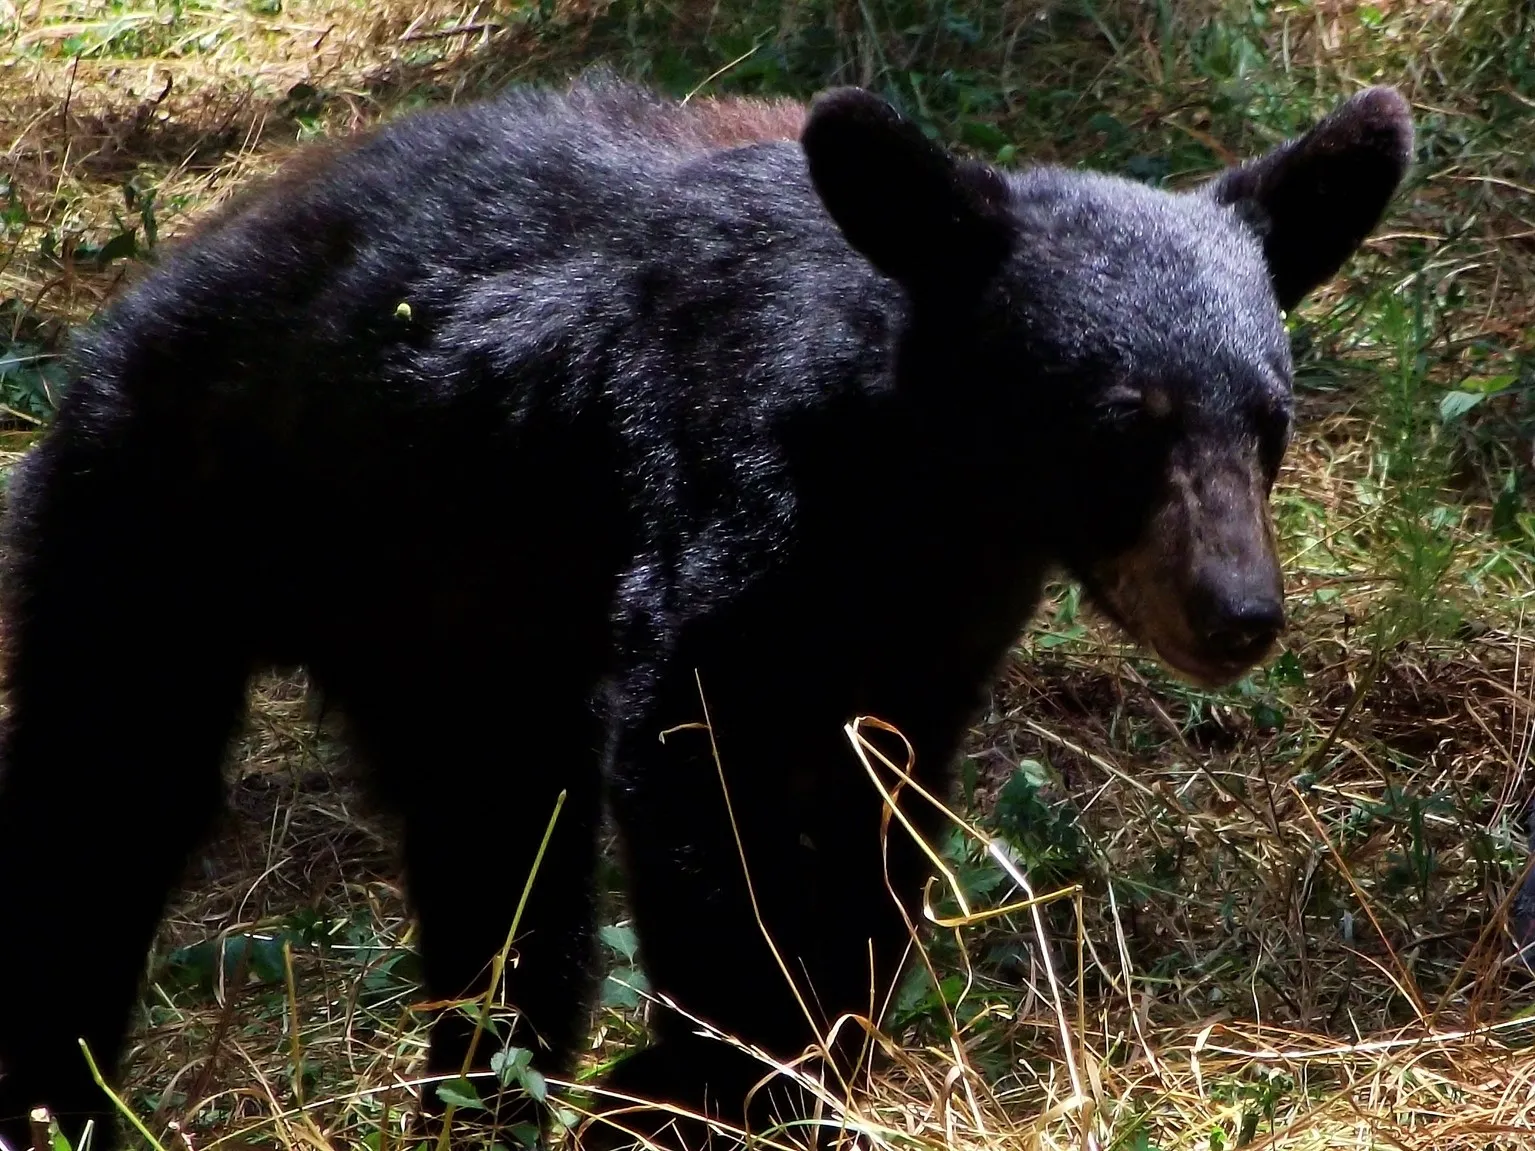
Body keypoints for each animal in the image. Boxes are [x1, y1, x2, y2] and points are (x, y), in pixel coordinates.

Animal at [0, 74, 1412, 1151]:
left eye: (1267, 422)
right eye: (1121, 426)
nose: (1237, 612)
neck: (915, 486)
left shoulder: (927, 632)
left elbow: (877, 831)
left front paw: (768, 1071)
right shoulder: (726, 495)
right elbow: (698, 765)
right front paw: (698, 1079)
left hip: (455, 636)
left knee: (499, 864)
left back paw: (482, 1097)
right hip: (157, 512)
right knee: (104, 805)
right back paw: (61, 1095)